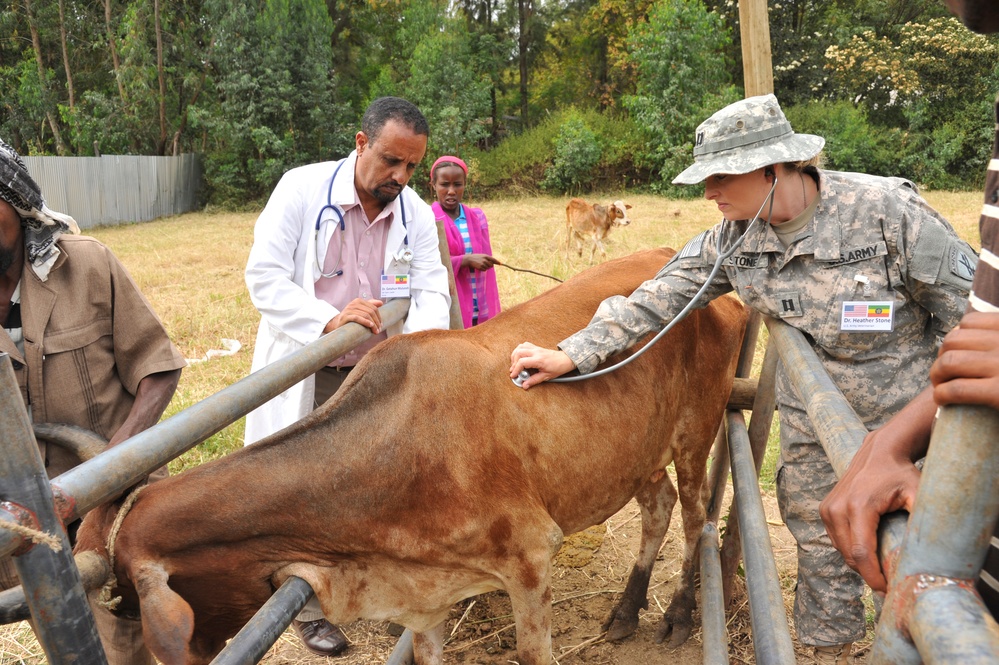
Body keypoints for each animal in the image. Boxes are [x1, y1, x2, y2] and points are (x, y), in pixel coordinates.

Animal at [76, 248, 744, 664]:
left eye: (123, 596)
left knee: (696, 517)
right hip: (636, 452)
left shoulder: (530, 559)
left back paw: (680, 615)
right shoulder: (423, 598)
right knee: (657, 507)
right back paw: (626, 611)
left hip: (697, 430)